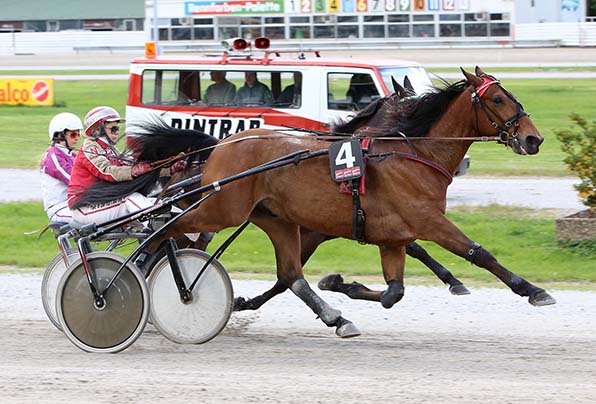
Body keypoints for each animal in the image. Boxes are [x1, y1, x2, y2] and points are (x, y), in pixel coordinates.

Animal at [128, 67, 556, 338]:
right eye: (498, 99)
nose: (533, 139)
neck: (412, 154)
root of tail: (221, 145)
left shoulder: (388, 235)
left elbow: (394, 292)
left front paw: (340, 283)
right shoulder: (426, 219)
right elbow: (477, 252)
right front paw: (532, 290)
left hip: (273, 219)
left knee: (289, 275)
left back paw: (334, 317)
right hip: (220, 210)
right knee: (164, 233)